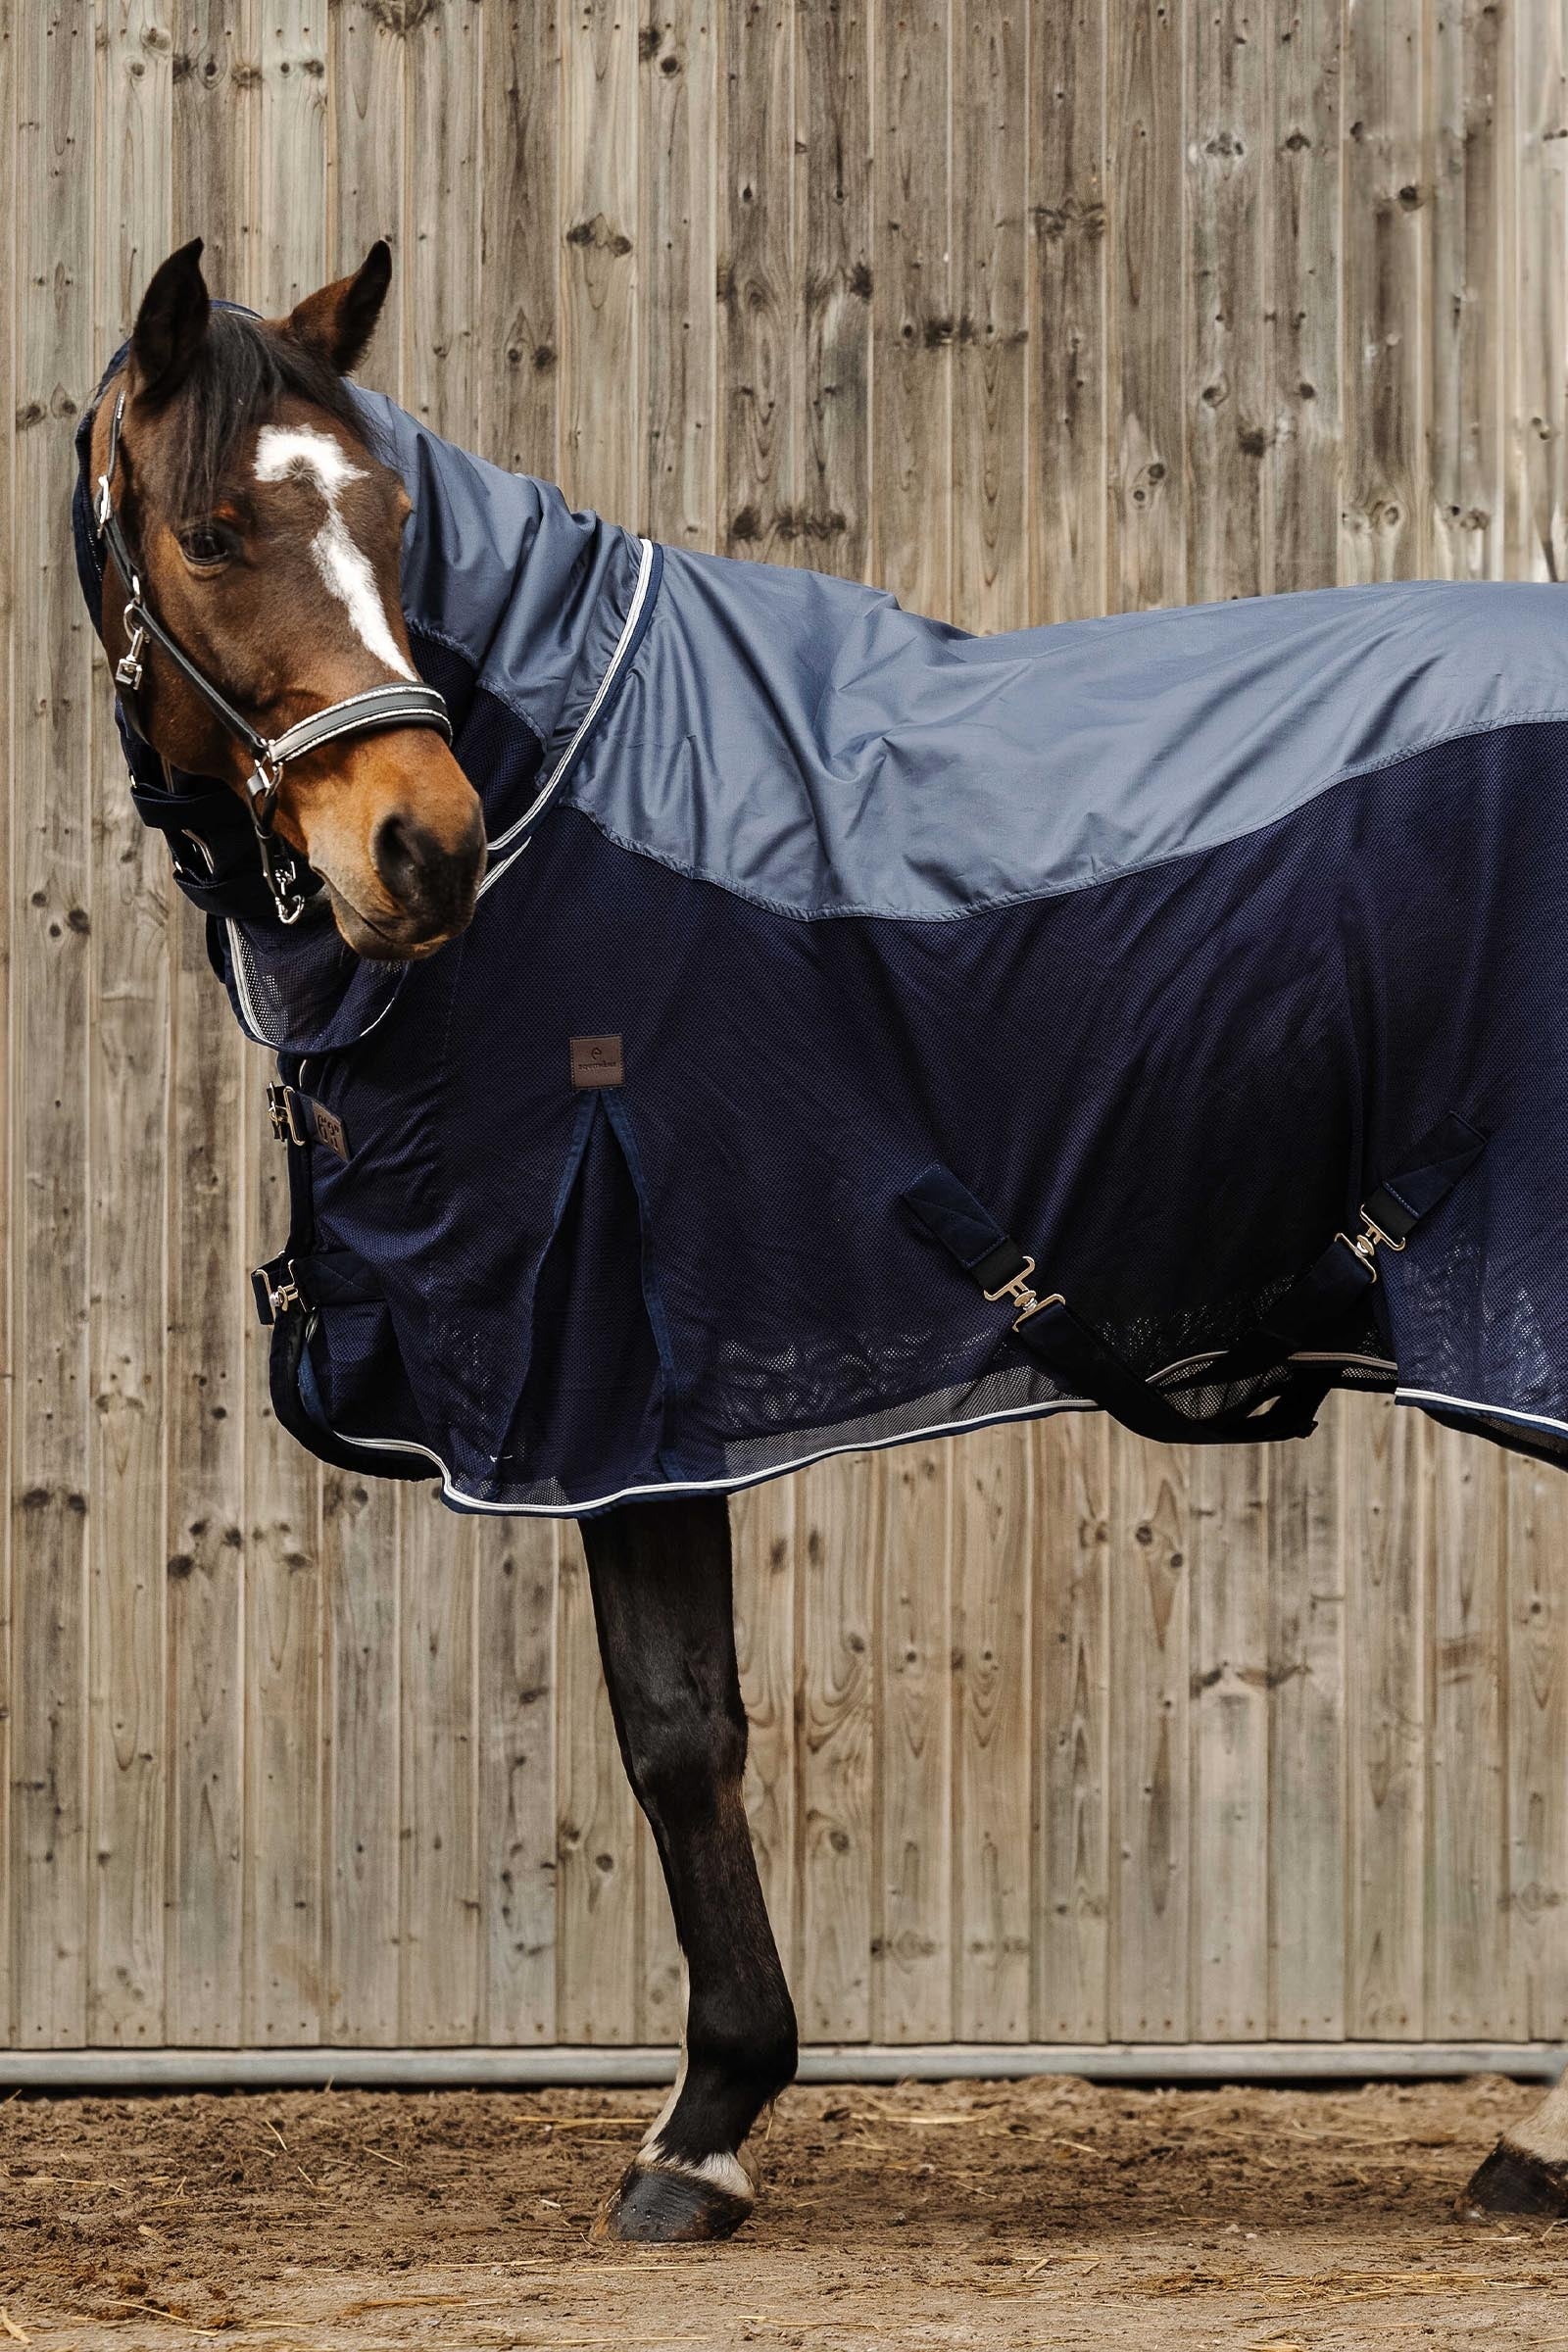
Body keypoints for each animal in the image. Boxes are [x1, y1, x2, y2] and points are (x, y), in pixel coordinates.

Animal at [76, 238, 1568, 2243]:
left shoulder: (616, 1372)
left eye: (389, 521)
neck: (572, 792)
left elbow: (676, 1731)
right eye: (218, 527)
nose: (422, 848)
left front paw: (703, 2126)